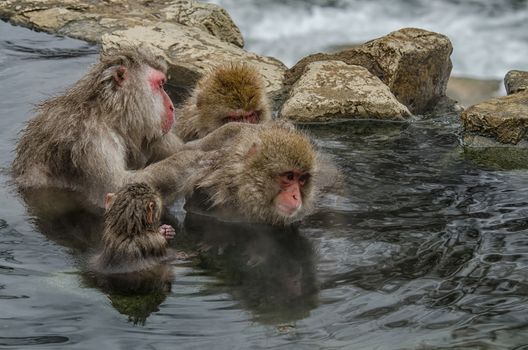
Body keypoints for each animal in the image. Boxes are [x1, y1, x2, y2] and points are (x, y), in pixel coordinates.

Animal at [13, 45, 204, 206]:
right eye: (161, 85)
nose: (171, 107)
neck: (110, 115)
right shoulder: (92, 142)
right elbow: (115, 190)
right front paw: (192, 158)